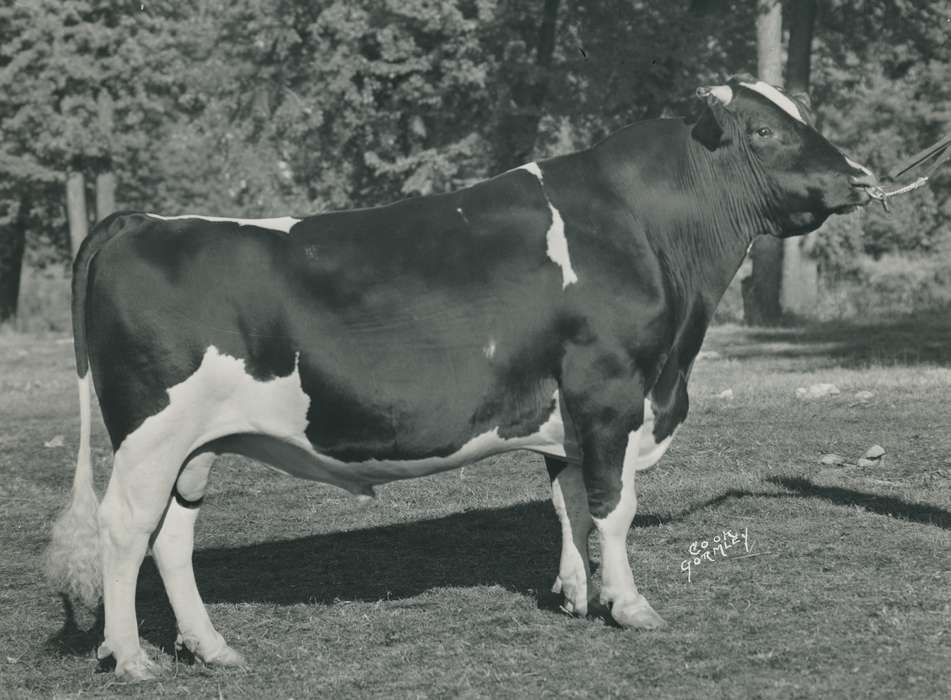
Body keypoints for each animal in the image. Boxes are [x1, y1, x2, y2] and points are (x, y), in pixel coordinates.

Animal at [47, 77, 877, 680]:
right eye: (763, 132)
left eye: (801, 115)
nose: (862, 179)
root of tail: (144, 220)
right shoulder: (610, 390)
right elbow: (612, 505)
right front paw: (627, 604)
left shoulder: (566, 413)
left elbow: (569, 503)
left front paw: (574, 594)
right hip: (152, 432)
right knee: (126, 528)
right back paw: (133, 658)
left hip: (196, 445)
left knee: (172, 537)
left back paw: (212, 648)